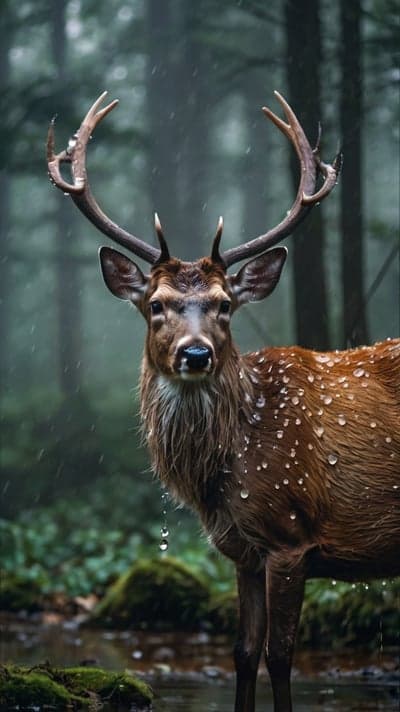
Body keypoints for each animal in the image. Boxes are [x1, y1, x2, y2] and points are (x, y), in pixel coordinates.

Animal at [47, 91, 400, 712]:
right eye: (156, 304)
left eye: (225, 304)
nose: (195, 353)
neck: (225, 471)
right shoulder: (243, 551)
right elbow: (242, 654)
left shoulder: (291, 534)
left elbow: (280, 657)